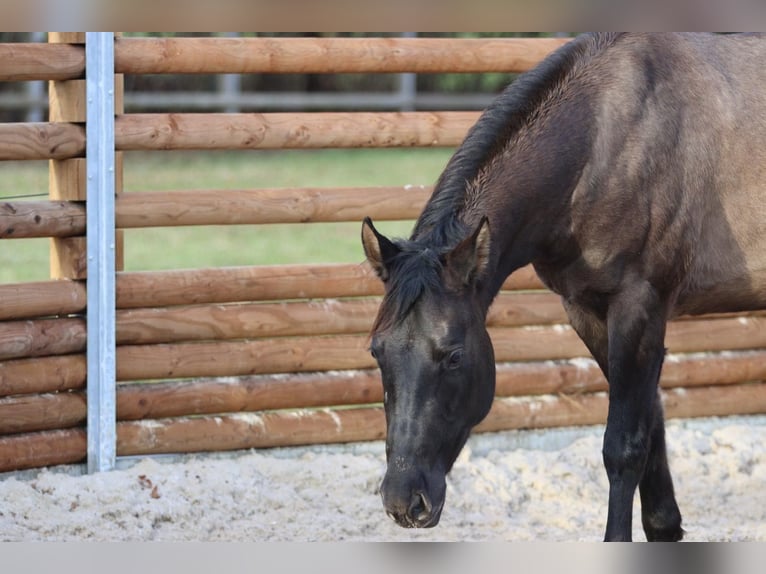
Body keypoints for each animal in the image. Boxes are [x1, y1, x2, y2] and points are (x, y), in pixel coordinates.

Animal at [361, 32, 766, 541]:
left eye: (452, 356)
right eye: (377, 352)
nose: (403, 502)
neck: (605, 144)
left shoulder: (639, 306)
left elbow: (624, 445)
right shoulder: (587, 311)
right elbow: (650, 425)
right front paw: (664, 525)